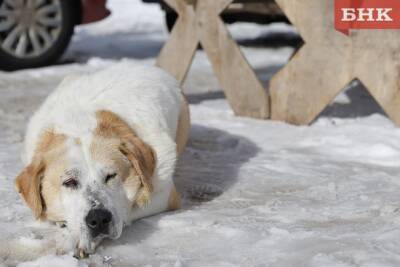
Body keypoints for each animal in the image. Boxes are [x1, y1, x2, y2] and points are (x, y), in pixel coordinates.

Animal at [12, 62, 191, 260]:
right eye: (69, 182)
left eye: (111, 176)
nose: (98, 218)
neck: (79, 122)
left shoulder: (165, 194)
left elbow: (128, 207)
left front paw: (77, 239)